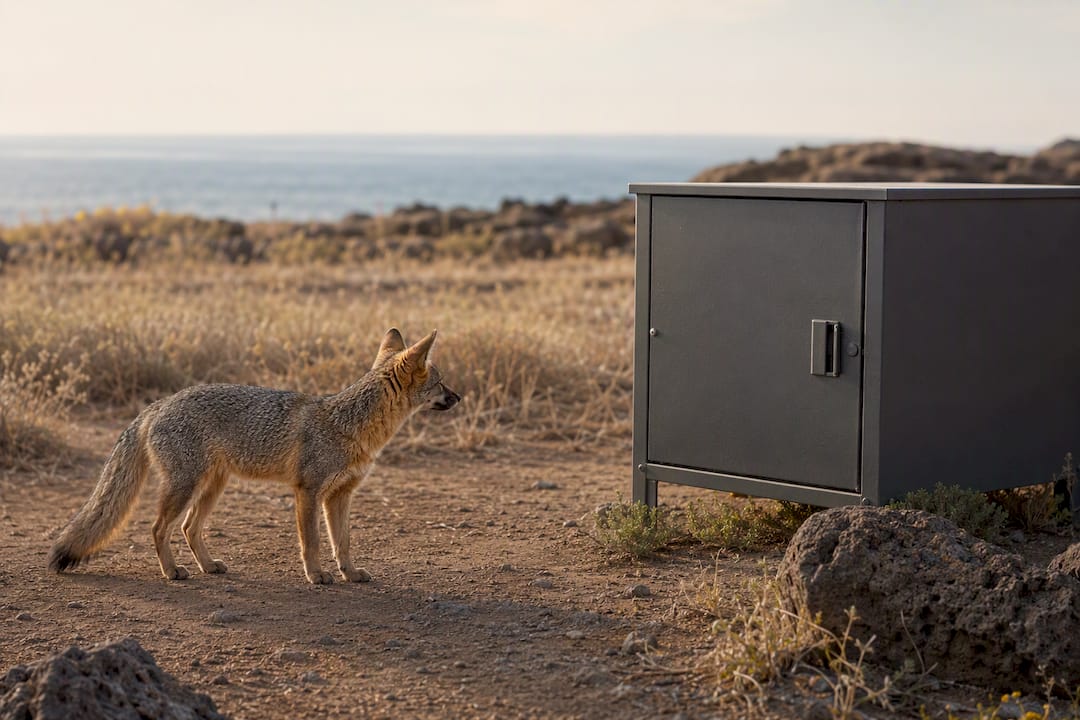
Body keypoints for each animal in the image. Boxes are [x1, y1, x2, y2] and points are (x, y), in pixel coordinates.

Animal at [48, 328, 460, 584]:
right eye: (441, 383)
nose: (459, 397)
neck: (349, 424)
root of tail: (159, 403)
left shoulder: (340, 495)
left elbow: (343, 542)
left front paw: (351, 573)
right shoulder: (308, 491)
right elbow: (312, 541)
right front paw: (317, 576)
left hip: (214, 486)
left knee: (188, 528)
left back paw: (208, 566)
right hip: (186, 486)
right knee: (158, 528)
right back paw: (172, 571)